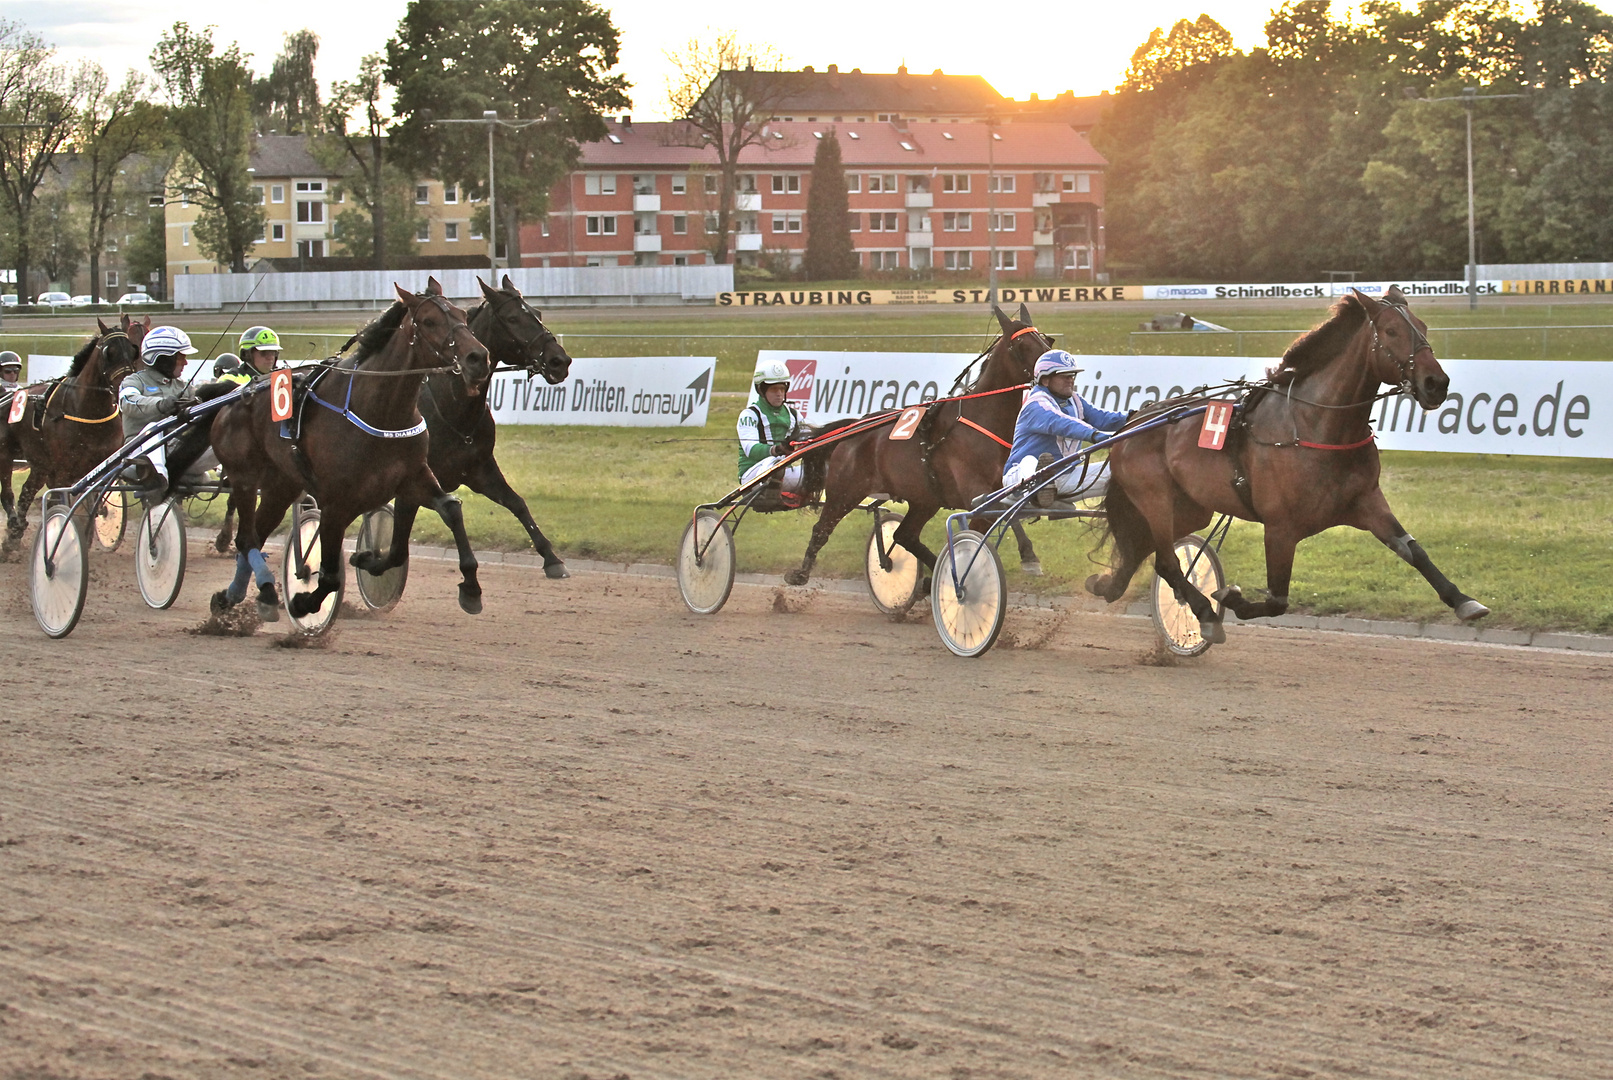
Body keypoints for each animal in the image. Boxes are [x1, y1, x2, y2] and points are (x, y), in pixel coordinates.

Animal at [3, 315, 146, 551]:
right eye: (109, 352)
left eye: (133, 349)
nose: (125, 385)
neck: (87, 413)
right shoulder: (62, 471)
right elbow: (61, 503)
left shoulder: (98, 467)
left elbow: (93, 505)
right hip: (7, 455)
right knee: (8, 493)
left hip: (40, 464)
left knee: (26, 492)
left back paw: (14, 535)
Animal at [783, 304, 1058, 586]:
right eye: (1022, 344)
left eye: (1046, 340)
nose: (1059, 363)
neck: (983, 419)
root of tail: (855, 427)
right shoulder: (974, 492)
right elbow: (1002, 515)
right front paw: (1029, 557)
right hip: (845, 490)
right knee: (822, 528)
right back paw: (800, 573)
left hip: (924, 499)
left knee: (905, 535)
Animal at [1083, 285, 1483, 644]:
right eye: (1391, 331)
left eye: (1423, 327)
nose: (1436, 383)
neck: (1316, 427)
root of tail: (1133, 422)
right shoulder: (1279, 527)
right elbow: (1277, 600)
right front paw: (1229, 597)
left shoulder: (1367, 501)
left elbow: (1412, 549)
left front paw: (1464, 601)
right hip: (1156, 499)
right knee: (1166, 561)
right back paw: (1205, 615)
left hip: (1190, 508)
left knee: (1145, 549)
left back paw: (1108, 585)